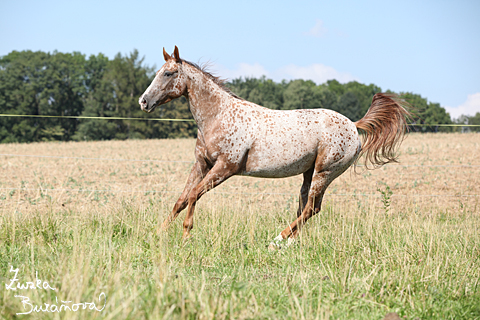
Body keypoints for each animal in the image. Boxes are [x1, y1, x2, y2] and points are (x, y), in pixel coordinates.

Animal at [139, 46, 412, 249]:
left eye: (168, 73)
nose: (143, 101)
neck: (218, 116)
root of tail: (354, 125)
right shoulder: (201, 164)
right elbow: (181, 199)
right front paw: (158, 233)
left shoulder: (225, 168)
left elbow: (194, 195)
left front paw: (186, 236)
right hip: (309, 173)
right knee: (308, 208)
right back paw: (288, 243)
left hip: (325, 172)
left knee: (311, 208)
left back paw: (277, 239)